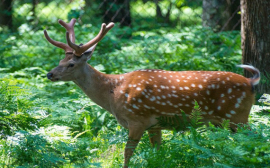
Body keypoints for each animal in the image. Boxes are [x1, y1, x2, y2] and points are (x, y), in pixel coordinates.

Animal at [43, 19, 260, 167]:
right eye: (60, 61)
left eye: (71, 64)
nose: (49, 74)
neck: (113, 93)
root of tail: (251, 82)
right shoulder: (154, 124)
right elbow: (157, 152)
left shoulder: (137, 119)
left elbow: (127, 153)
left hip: (237, 115)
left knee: (255, 137)